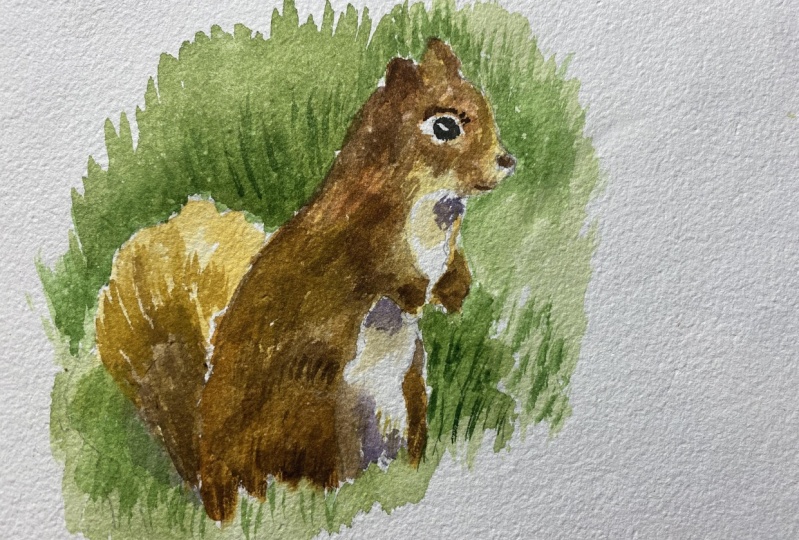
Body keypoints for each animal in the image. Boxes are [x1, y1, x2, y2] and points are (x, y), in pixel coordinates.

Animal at [95, 38, 515, 523]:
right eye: (444, 126)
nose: (507, 161)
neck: (435, 208)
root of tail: (212, 481)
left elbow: (451, 268)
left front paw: (455, 289)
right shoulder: (357, 241)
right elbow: (384, 274)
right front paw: (417, 292)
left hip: (408, 399)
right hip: (313, 416)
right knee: (311, 482)